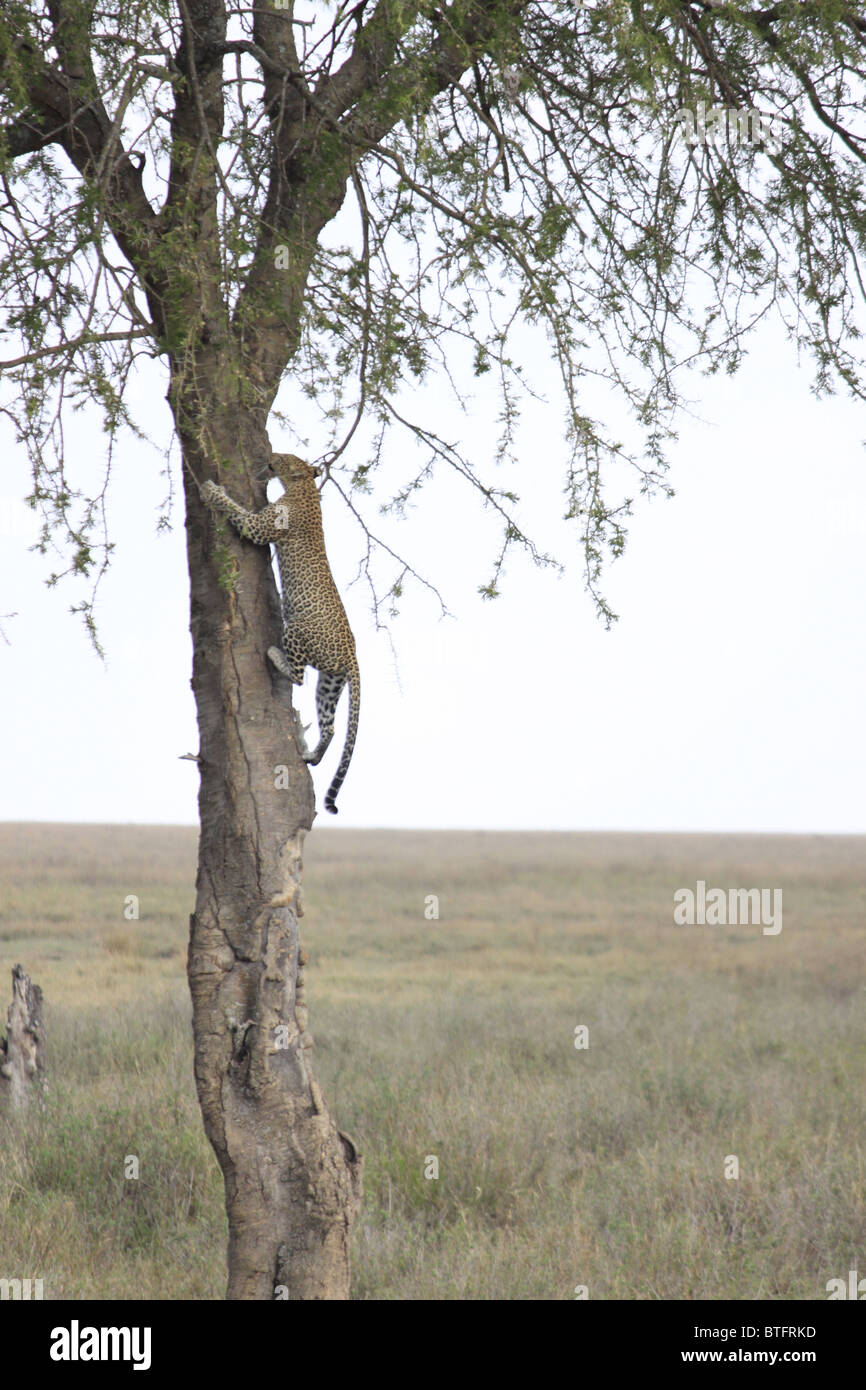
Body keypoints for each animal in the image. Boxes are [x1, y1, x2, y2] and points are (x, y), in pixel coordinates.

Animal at [201, 453, 361, 811]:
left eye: (283, 458)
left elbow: (238, 511)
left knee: (298, 676)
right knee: (330, 726)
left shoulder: (259, 528)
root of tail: (353, 655)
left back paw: (275, 655)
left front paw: (213, 490)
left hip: (298, 631)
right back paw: (311, 754)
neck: (305, 488)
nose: (270, 457)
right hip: (330, 683)